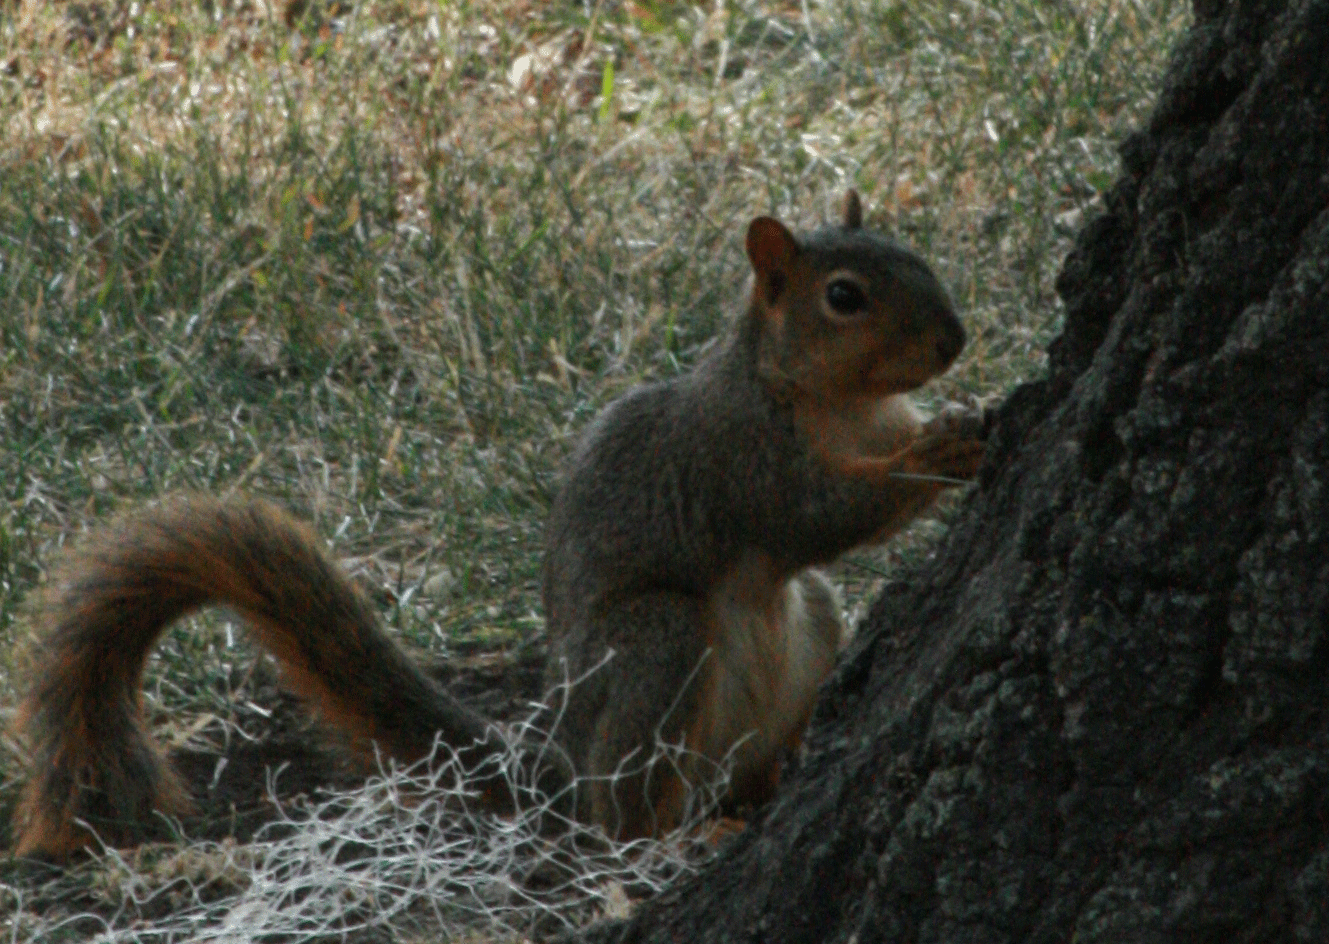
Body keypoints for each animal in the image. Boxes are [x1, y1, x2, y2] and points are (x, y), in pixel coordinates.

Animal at [11, 190, 987, 859]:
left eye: (915, 254)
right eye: (845, 296)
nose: (953, 342)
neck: (838, 404)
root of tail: (561, 767)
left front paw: (961, 416)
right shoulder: (740, 458)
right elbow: (822, 515)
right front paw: (947, 445)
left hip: (807, 623)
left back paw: (764, 791)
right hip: (657, 647)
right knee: (624, 820)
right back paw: (675, 838)